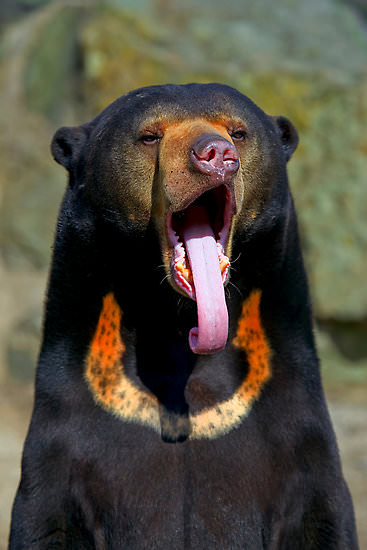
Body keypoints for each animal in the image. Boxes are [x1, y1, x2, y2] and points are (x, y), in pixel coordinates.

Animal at [8, 84, 360, 548]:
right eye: (149, 136)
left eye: (239, 132)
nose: (215, 154)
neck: (178, 328)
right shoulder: (61, 443)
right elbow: (46, 521)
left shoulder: (300, 437)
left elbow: (322, 516)